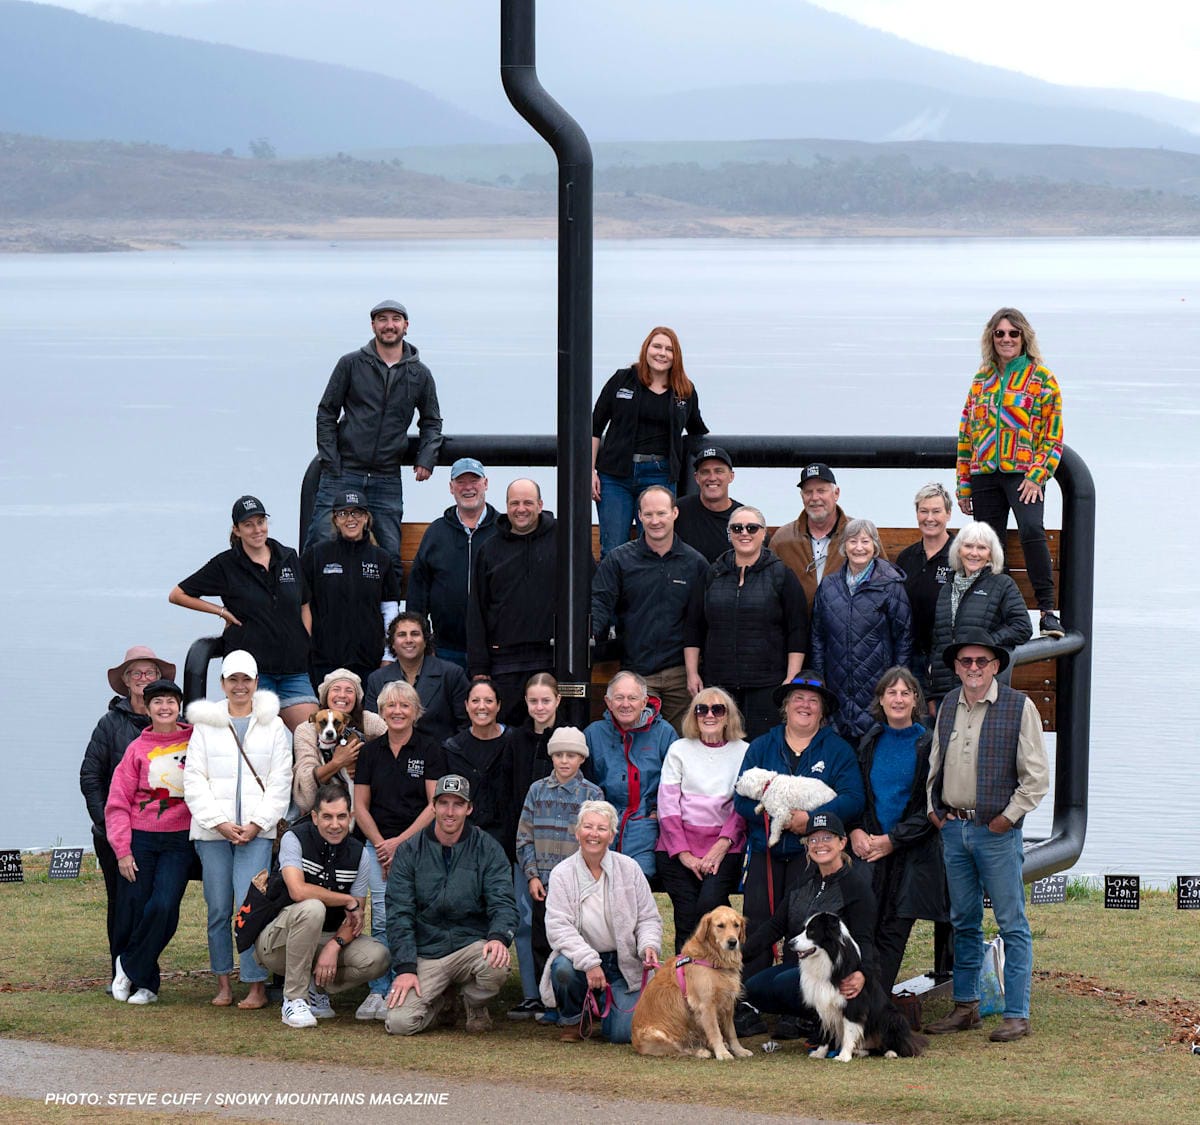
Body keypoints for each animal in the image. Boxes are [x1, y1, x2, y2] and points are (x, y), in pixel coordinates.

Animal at [631, 906, 753, 1060]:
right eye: (720, 926)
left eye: (736, 925)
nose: (733, 942)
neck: (713, 958)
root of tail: (634, 1042)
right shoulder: (706, 1005)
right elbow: (715, 1032)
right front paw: (722, 1053)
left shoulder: (728, 1003)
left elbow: (732, 1033)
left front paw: (739, 1050)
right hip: (658, 1035)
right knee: (679, 1049)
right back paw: (701, 1051)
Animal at [788, 912, 927, 1062]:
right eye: (804, 929)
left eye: (812, 931)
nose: (790, 943)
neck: (828, 958)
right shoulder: (822, 1001)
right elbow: (824, 1030)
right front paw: (820, 1052)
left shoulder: (853, 1002)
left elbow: (849, 1031)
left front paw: (843, 1056)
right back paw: (860, 1052)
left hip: (892, 1016)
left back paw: (891, 1052)